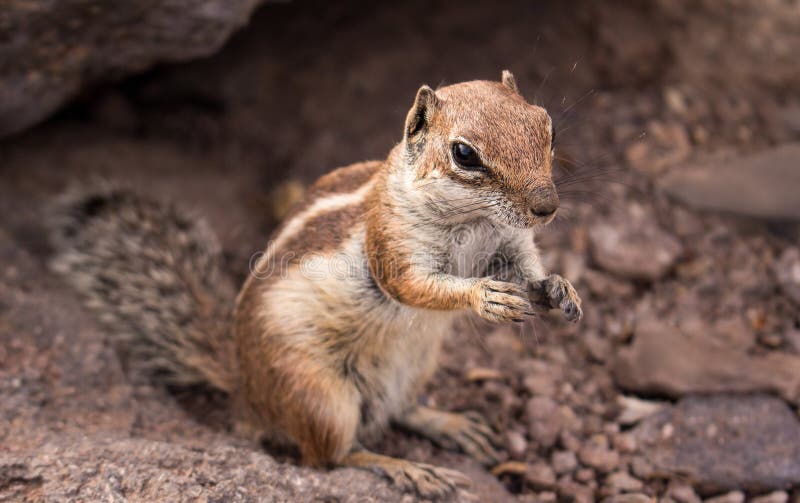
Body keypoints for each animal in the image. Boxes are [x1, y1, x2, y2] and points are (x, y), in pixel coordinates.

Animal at [51, 70, 582, 500]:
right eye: (465, 154)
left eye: (548, 126)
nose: (547, 207)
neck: (474, 223)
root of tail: (247, 393)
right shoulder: (392, 244)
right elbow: (413, 286)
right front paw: (482, 295)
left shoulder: (510, 243)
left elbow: (529, 268)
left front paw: (561, 289)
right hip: (322, 398)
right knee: (332, 457)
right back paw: (408, 467)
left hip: (416, 365)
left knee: (398, 410)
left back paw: (450, 424)